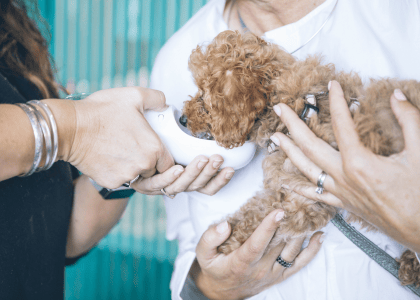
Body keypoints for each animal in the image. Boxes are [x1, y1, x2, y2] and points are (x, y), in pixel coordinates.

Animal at [183, 29, 420, 286]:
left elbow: (254, 219)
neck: (297, 106)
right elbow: (255, 208)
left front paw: (226, 242)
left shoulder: (300, 198)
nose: (183, 119)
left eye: (204, 95)